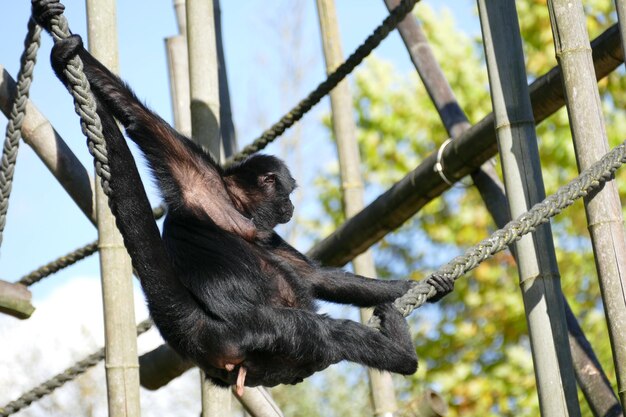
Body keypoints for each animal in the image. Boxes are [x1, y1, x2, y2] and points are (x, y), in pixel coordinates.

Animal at [31, 0, 450, 394]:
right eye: (288, 193)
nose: (291, 206)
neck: (233, 205)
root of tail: (200, 333)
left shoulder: (265, 231)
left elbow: (313, 275)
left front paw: (413, 286)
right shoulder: (195, 175)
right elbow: (140, 118)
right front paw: (63, 46)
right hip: (261, 331)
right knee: (323, 331)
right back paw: (404, 355)